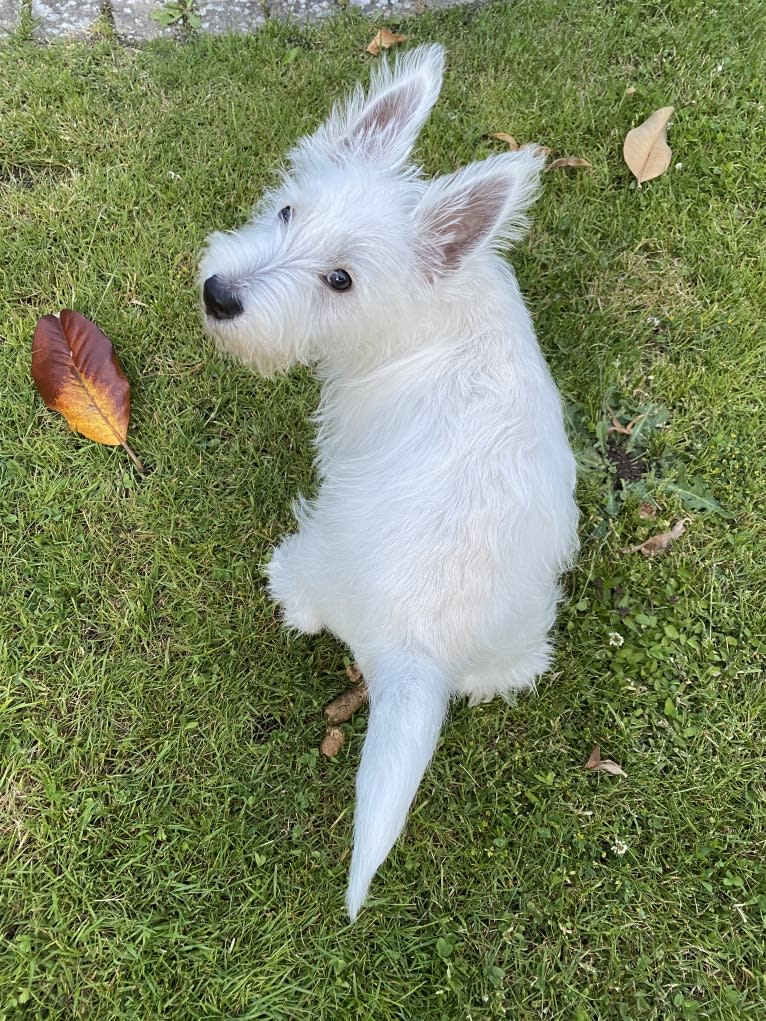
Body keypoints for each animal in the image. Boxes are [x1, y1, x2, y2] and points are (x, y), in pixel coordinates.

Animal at [201, 43, 580, 922]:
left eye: (340, 280)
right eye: (288, 212)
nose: (219, 295)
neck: (432, 309)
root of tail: (419, 655)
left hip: (322, 554)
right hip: (522, 643)